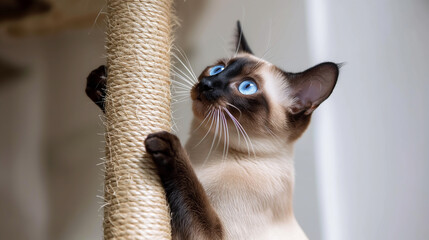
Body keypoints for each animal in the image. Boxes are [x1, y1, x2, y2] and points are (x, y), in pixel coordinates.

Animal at [86, 21, 338, 239]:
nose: (206, 84)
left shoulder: (211, 234)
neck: (207, 150)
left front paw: (167, 146)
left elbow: (192, 189)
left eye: (247, 87)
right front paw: (102, 84)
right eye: (218, 69)